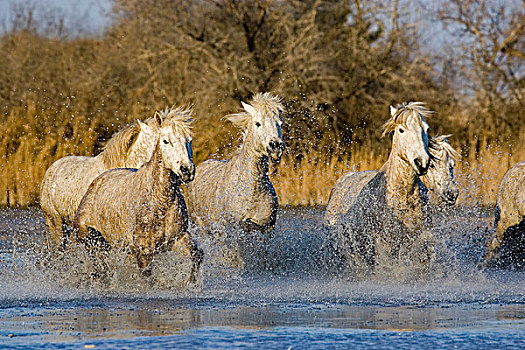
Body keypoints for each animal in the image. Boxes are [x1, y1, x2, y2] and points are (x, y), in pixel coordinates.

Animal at [74, 106, 202, 282]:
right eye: (166, 141)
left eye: (189, 140)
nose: (187, 170)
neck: (159, 202)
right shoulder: (144, 251)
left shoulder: (178, 239)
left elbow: (197, 255)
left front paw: (190, 282)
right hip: (92, 240)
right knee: (101, 270)